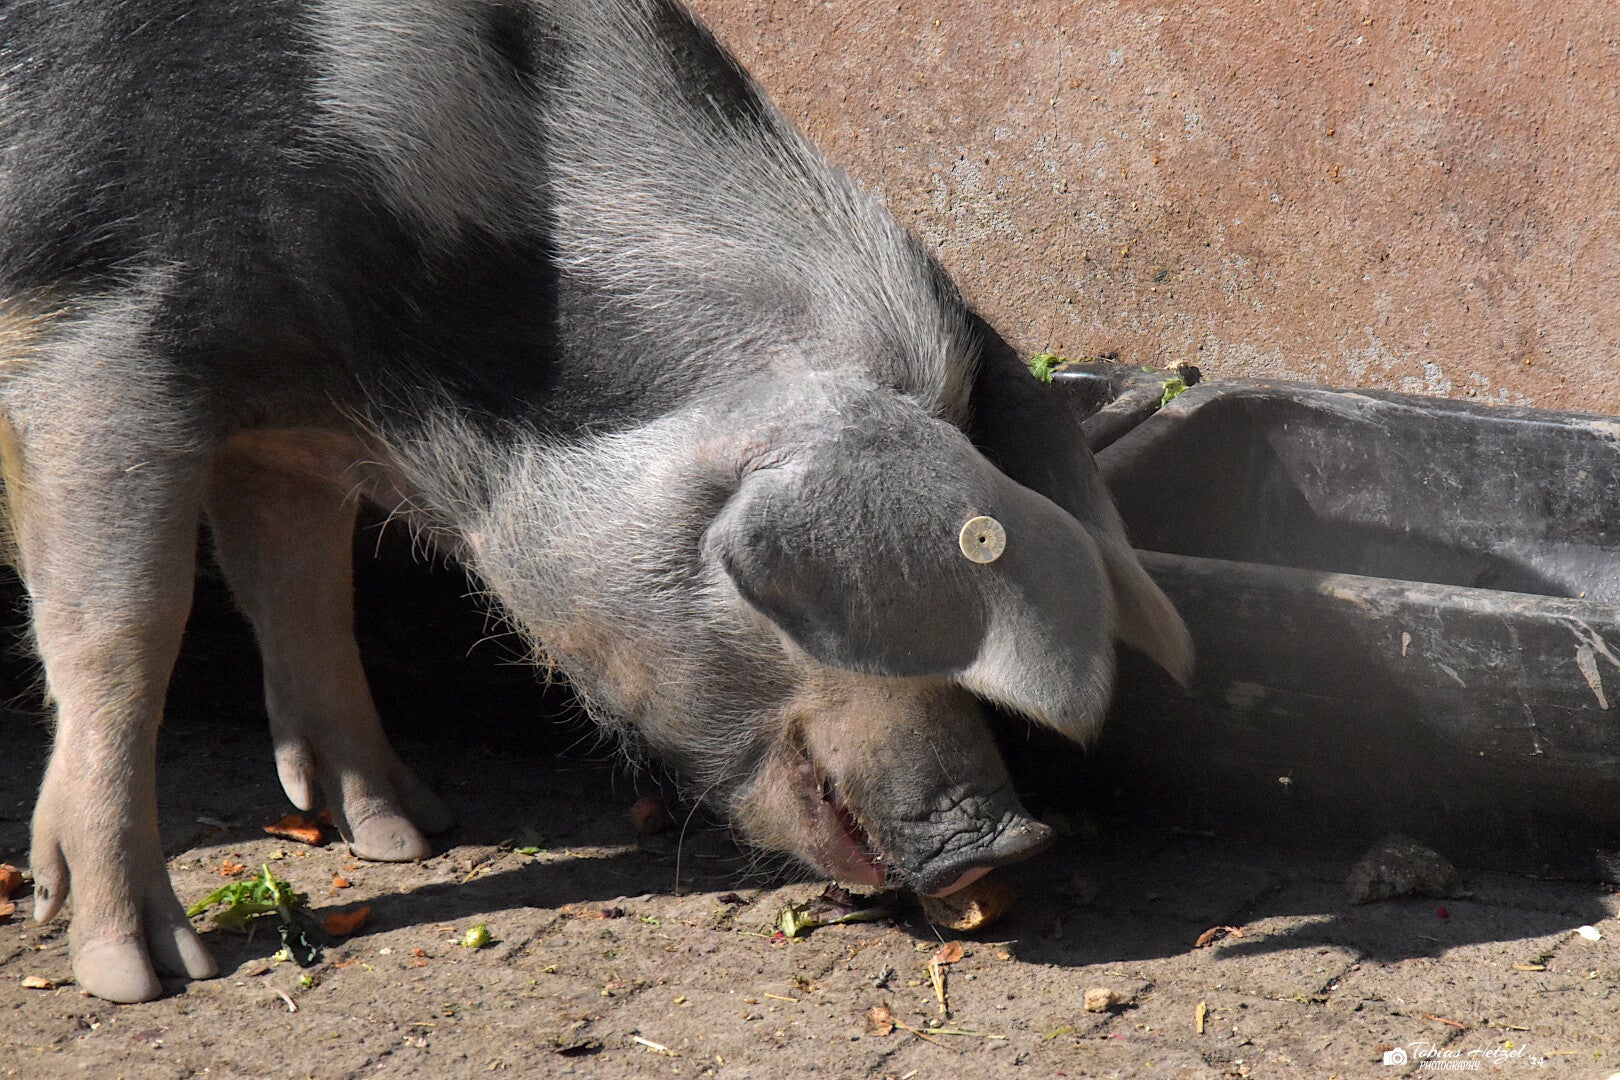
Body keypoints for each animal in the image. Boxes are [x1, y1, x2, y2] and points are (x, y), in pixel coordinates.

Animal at [0, 0, 1191, 1002]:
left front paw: (405, 833)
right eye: (789, 591)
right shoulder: (101, 337)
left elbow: (305, 587)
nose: (1010, 836)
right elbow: (122, 629)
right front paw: (144, 974)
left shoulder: (284, 409)